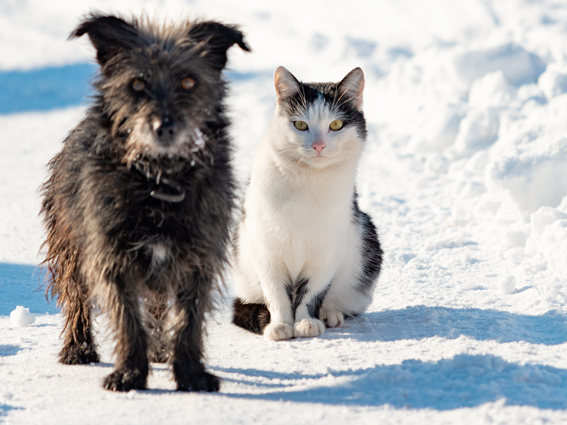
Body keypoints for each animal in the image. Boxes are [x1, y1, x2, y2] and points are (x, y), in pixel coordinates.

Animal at [40, 13, 251, 390]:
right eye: (137, 84)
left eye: (188, 82)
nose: (163, 127)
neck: (159, 183)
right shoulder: (111, 256)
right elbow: (127, 317)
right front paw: (129, 374)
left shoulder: (198, 258)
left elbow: (188, 318)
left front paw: (190, 373)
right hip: (71, 244)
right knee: (77, 295)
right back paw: (79, 347)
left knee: (156, 304)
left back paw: (159, 349)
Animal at [232, 66, 386, 342]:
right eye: (300, 125)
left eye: (336, 125)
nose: (318, 145)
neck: (308, 180)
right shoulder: (264, 249)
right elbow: (275, 293)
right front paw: (280, 325)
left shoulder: (327, 252)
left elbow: (314, 292)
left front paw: (305, 322)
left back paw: (329, 314)